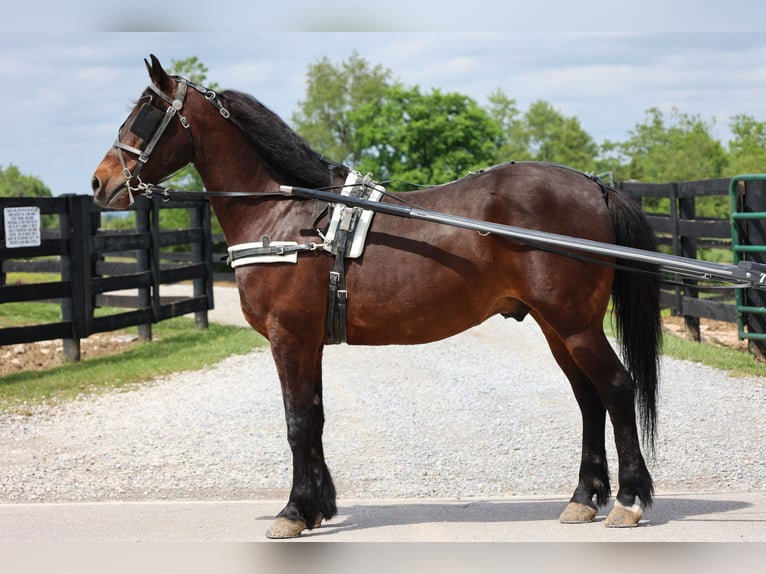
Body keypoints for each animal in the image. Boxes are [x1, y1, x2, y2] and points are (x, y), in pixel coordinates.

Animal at [93, 55, 664, 540]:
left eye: (145, 113)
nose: (101, 183)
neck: (287, 214)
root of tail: (596, 187)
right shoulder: (309, 342)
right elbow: (315, 418)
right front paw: (316, 507)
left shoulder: (287, 338)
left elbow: (297, 423)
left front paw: (292, 512)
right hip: (556, 326)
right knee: (588, 398)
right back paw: (583, 499)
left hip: (575, 325)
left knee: (617, 389)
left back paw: (628, 502)